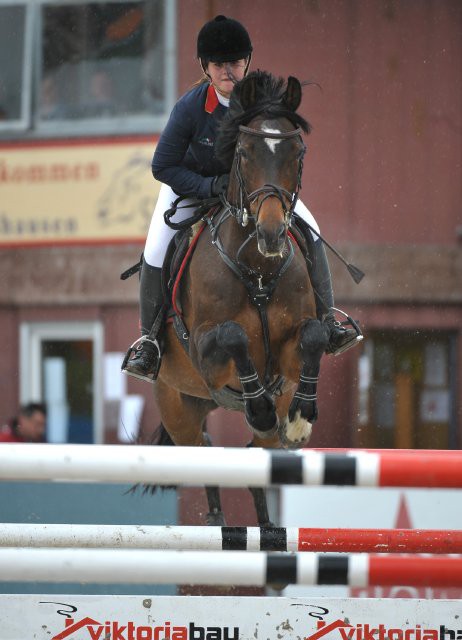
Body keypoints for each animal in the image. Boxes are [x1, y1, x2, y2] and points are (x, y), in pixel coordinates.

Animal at [151, 72, 328, 528]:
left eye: (298, 152)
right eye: (244, 153)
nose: (271, 233)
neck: (257, 270)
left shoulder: (288, 354)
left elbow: (315, 336)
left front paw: (301, 418)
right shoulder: (206, 354)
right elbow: (233, 335)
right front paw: (259, 406)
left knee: (256, 455)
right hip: (178, 407)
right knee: (204, 452)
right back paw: (217, 518)